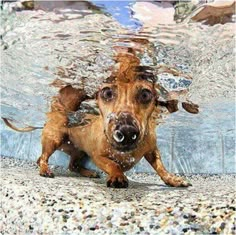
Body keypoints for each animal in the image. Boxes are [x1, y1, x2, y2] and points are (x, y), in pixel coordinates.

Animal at [2, 51, 197, 187]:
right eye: (107, 93)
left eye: (145, 94)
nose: (126, 132)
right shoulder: (98, 156)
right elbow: (113, 165)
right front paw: (117, 176)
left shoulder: (151, 150)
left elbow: (161, 167)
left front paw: (172, 179)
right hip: (54, 139)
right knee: (42, 158)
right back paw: (45, 169)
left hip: (78, 151)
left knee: (72, 165)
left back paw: (88, 173)